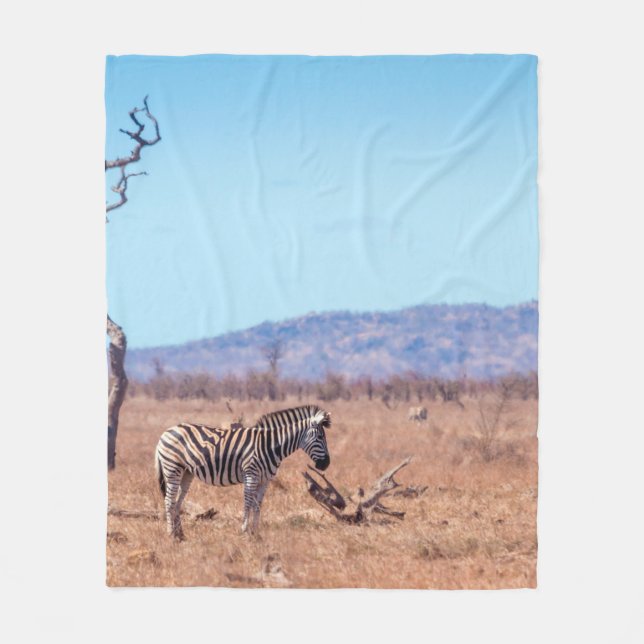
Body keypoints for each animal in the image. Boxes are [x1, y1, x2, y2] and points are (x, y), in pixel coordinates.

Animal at [155, 404, 331, 539]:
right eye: (320, 437)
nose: (326, 464)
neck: (269, 445)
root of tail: (165, 432)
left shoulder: (265, 480)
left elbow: (257, 506)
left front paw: (256, 534)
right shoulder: (251, 475)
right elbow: (247, 503)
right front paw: (245, 532)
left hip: (186, 472)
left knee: (177, 502)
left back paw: (180, 535)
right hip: (172, 468)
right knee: (169, 501)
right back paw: (171, 535)